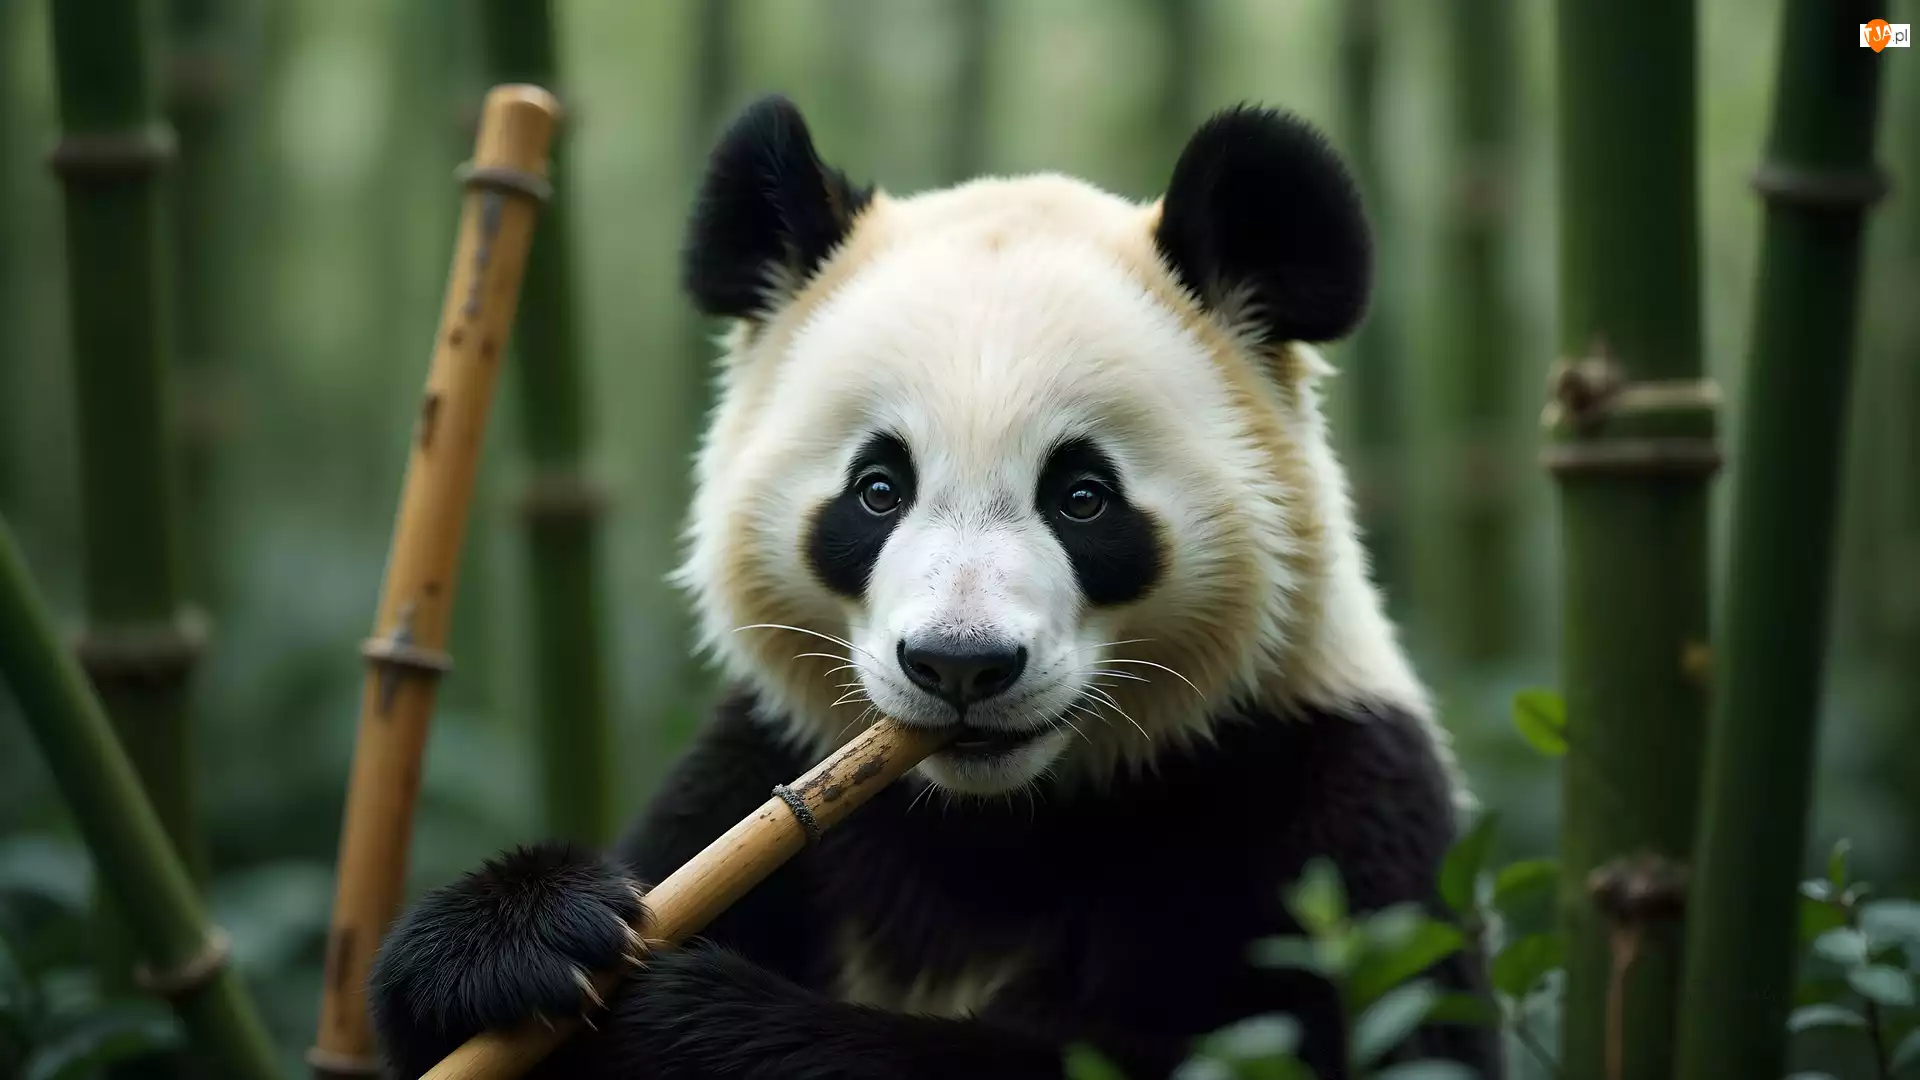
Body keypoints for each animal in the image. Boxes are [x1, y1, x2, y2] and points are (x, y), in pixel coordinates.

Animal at [368, 94, 1502, 1080]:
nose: (962, 666)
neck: (997, 819)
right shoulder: (765, 771)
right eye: (878, 489)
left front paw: (676, 1019)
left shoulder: (1326, 813)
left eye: (1083, 497)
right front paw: (515, 942)